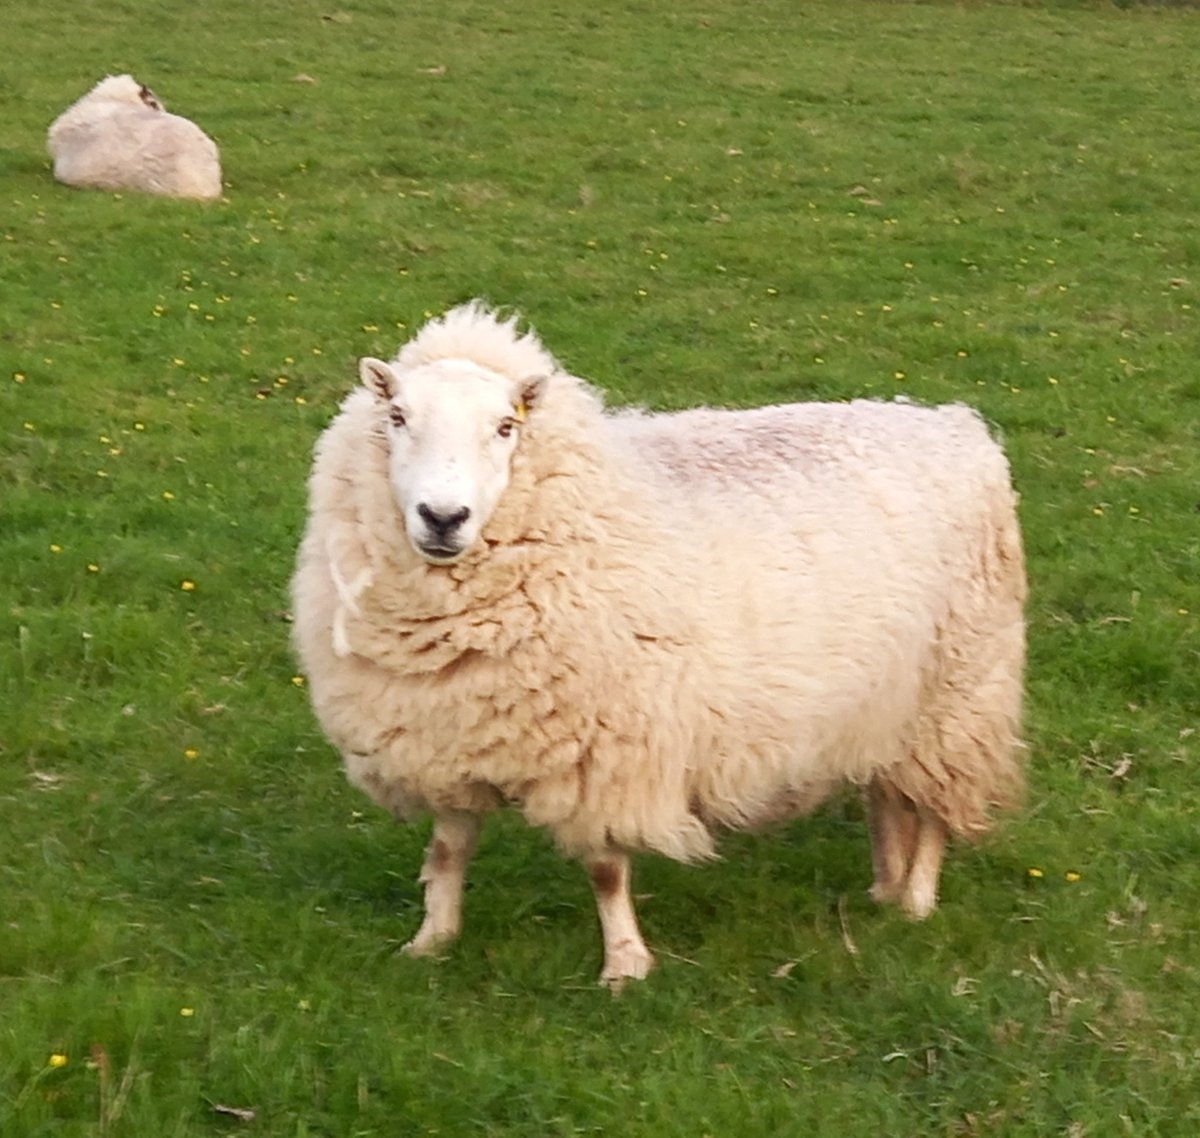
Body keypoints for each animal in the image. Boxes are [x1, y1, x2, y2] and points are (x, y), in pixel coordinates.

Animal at [288, 302, 1022, 989]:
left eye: (506, 427)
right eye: (398, 417)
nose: (443, 518)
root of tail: (951, 424)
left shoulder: (605, 747)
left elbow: (606, 870)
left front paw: (625, 967)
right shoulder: (447, 735)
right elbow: (446, 852)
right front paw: (431, 941)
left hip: (959, 691)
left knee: (931, 806)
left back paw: (916, 901)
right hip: (885, 702)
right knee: (885, 795)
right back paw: (884, 887)